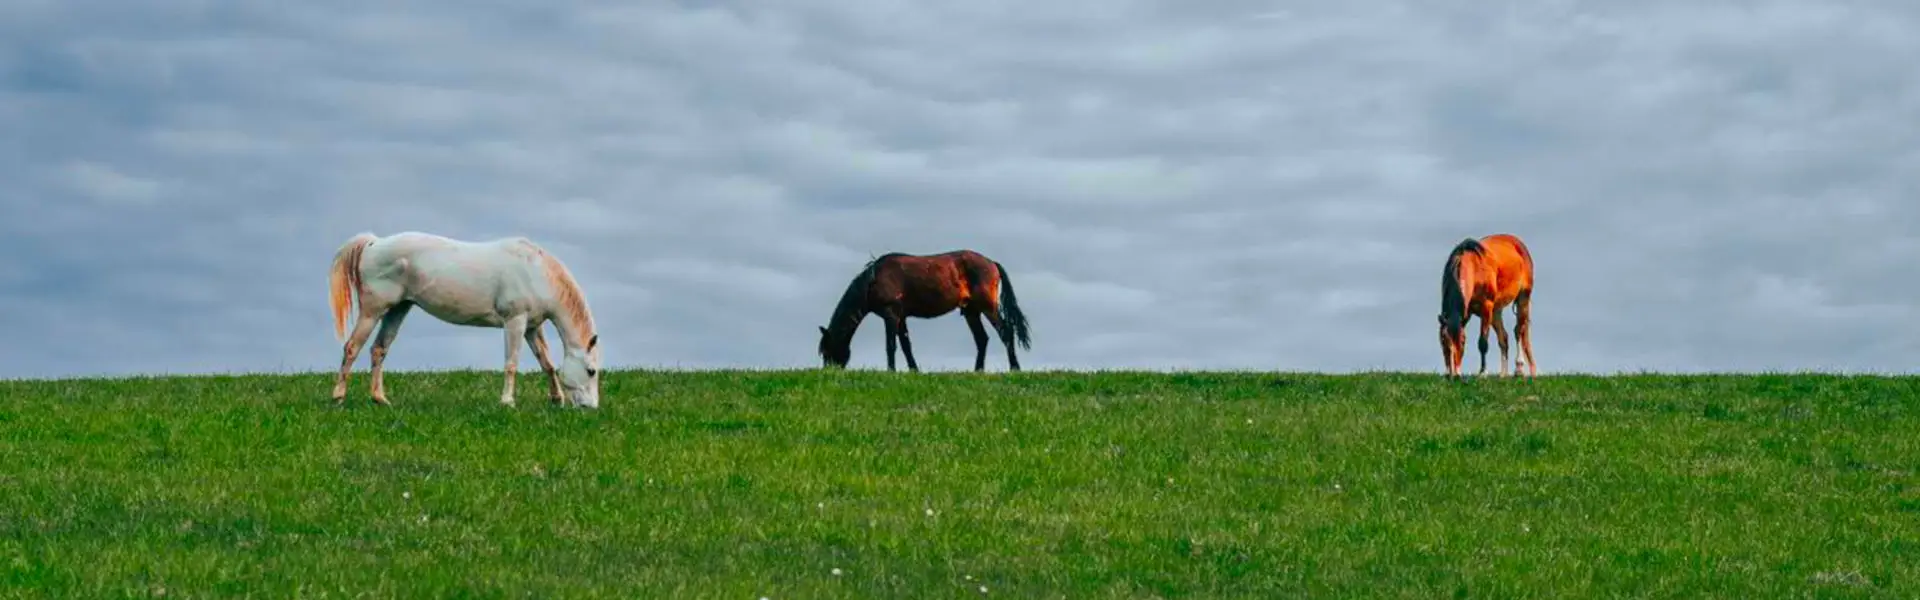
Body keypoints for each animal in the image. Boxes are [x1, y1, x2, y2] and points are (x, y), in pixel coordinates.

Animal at [326, 229, 599, 407]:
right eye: (591, 371)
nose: (591, 407)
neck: (535, 270)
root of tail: (374, 243)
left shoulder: (532, 327)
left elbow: (547, 363)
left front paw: (556, 399)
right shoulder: (515, 322)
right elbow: (511, 363)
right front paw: (507, 402)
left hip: (398, 310)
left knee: (378, 349)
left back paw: (380, 399)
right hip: (373, 311)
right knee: (352, 347)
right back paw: (338, 396)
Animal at [821, 250, 1036, 373]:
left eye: (826, 350)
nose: (828, 372)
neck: (873, 280)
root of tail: (992, 262)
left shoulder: (891, 315)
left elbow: (891, 345)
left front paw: (891, 371)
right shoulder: (901, 318)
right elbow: (906, 345)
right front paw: (913, 370)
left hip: (987, 307)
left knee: (1006, 332)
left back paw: (1015, 367)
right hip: (971, 311)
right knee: (981, 339)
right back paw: (978, 370)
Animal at [1436, 234, 1536, 378]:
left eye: (1463, 341)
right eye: (1443, 340)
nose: (1455, 375)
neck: (1474, 270)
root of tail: (1517, 242)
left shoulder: (1486, 309)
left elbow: (1482, 342)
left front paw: (1483, 372)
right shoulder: (1468, 313)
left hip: (1523, 298)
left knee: (1519, 330)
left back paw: (1519, 369)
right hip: (1496, 311)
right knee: (1504, 338)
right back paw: (1503, 374)